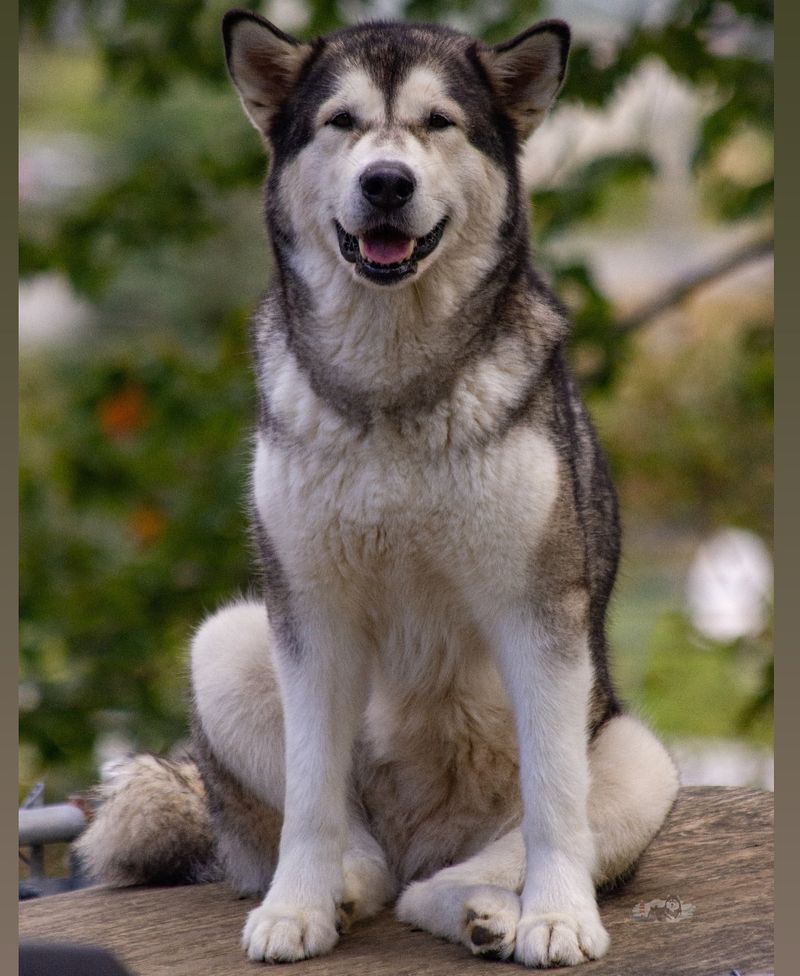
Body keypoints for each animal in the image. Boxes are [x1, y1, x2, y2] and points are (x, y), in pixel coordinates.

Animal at [73, 7, 676, 968]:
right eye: (342, 122)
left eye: (438, 123)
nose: (386, 182)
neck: (393, 385)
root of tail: (425, 837)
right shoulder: (310, 614)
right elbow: (312, 798)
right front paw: (297, 908)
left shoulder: (540, 612)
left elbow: (555, 806)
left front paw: (557, 918)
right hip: (227, 641)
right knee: (364, 855)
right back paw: (347, 890)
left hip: (637, 750)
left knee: (464, 869)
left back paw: (485, 910)